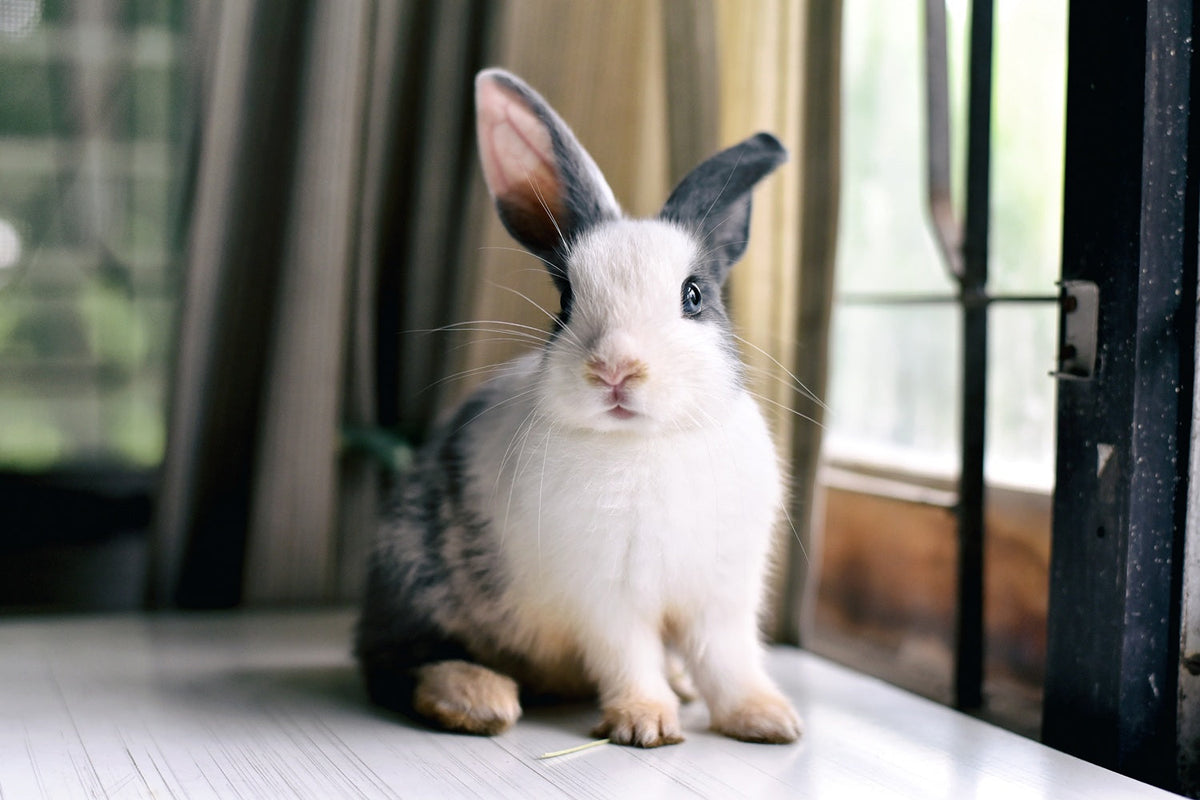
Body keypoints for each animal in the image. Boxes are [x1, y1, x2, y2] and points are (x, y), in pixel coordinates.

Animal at [355, 67, 801, 748]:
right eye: (565, 300)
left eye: (694, 295)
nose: (615, 369)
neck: (647, 443)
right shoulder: (606, 598)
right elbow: (630, 657)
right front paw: (646, 724)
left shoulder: (721, 596)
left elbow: (729, 660)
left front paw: (768, 720)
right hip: (415, 576)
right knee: (394, 662)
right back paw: (478, 697)